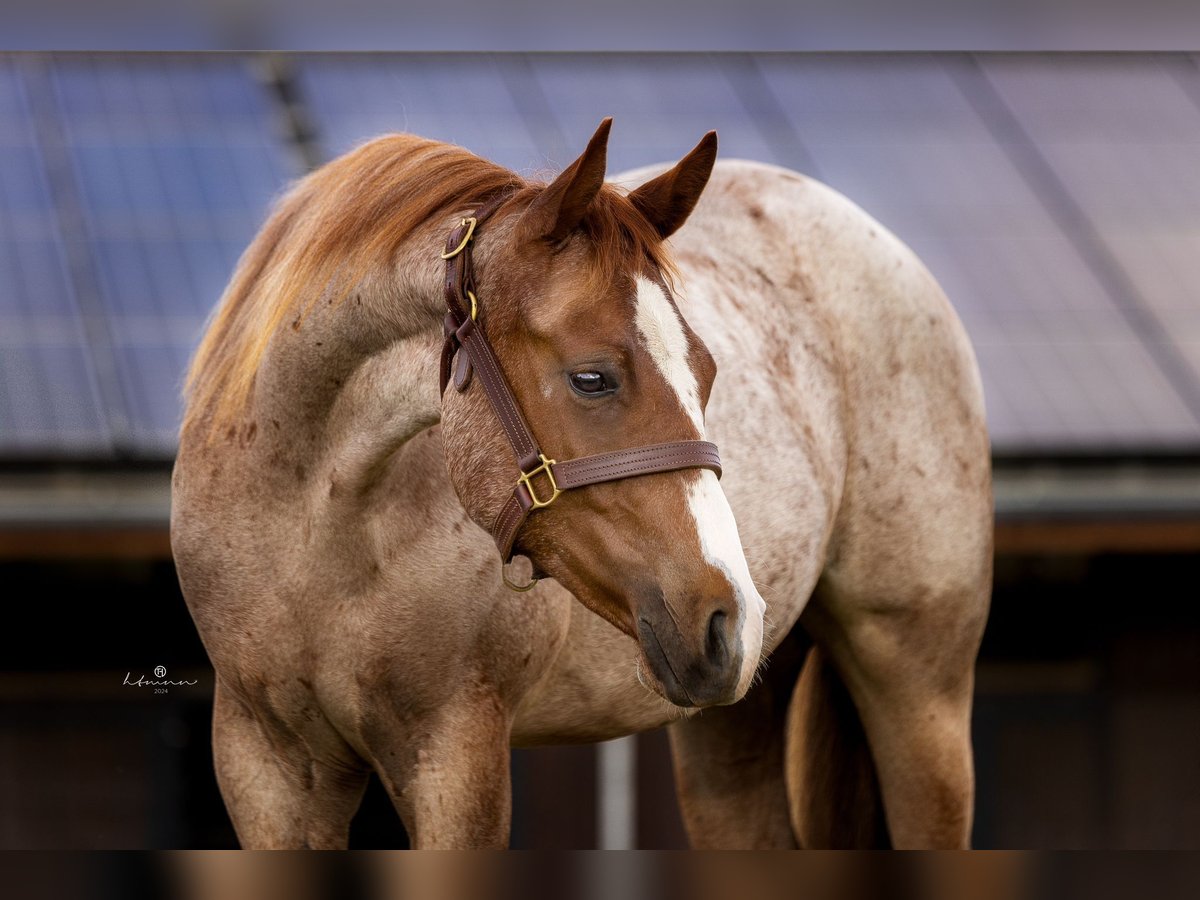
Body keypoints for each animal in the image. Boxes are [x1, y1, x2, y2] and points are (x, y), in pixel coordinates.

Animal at [171, 116, 993, 849]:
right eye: (592, 377)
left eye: (707, 371)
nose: (731, 616)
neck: (314, 523)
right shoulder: (267, 764)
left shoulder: (457, 754)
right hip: (728, 732)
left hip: (921, 697)